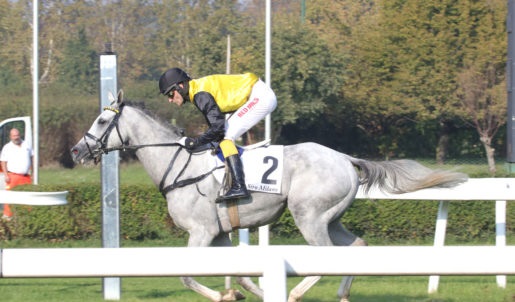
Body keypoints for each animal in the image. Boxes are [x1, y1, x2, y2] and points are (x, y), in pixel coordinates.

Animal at [70, 90, 470, 302]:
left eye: (102, 122)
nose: (76, 151)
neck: (180, 164)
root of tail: (345, 158)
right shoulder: (219, 234)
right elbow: (241, 273)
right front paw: (248, 292)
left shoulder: (200, 232)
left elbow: (186, 277)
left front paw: (230, 294)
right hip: (331, 218)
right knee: (357, 246)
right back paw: (342, 294)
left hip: (309, 216)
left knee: (325, 257)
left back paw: (296, 293)